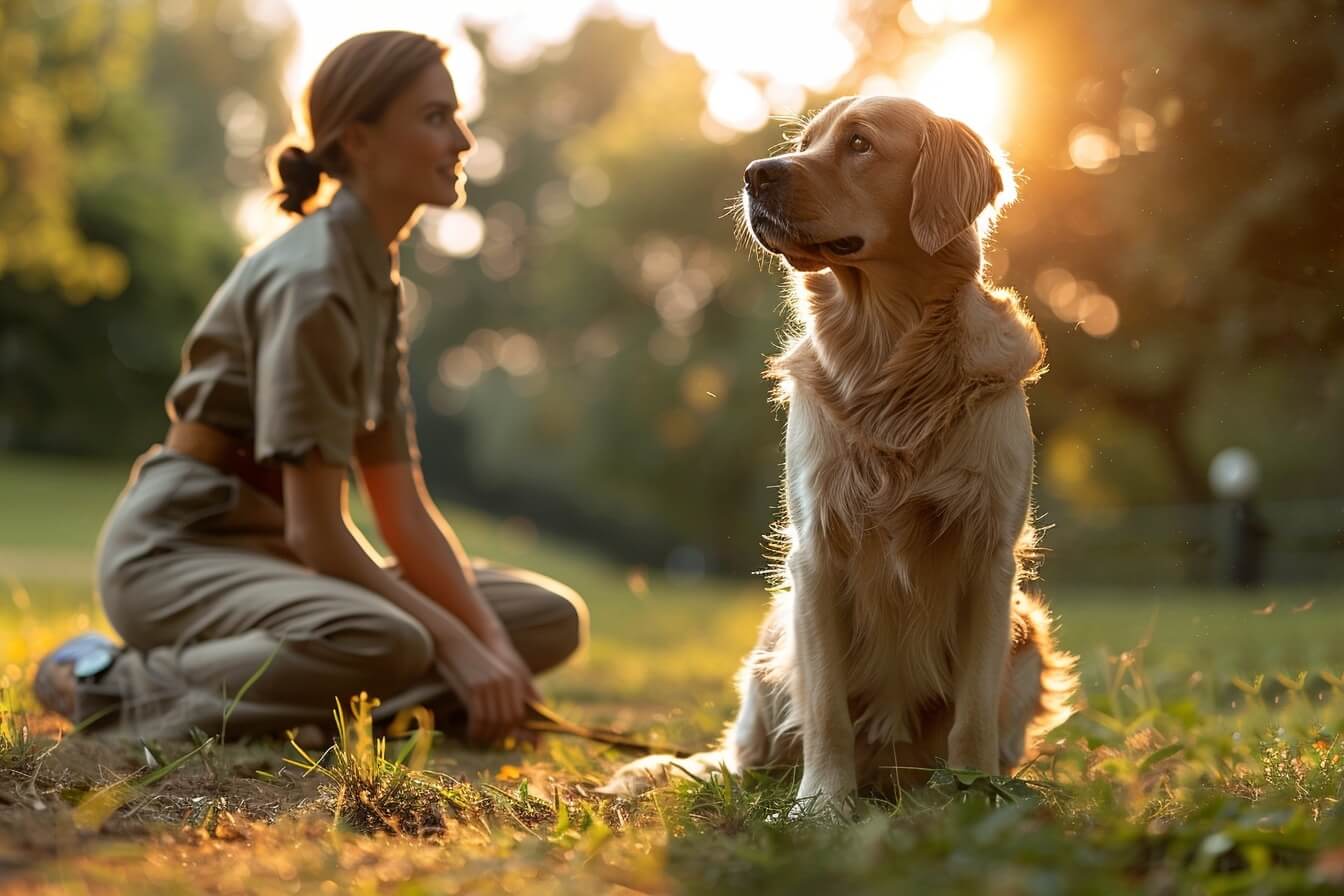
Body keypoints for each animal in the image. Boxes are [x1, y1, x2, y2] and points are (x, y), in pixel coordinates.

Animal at [604, 96, 1075, 811]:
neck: (888, 351)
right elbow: (826, 709)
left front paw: (972, 798)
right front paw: (823, 805)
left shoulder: (990, 556)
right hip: (776, 637)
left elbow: (973, 714)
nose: (754, 174)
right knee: (747, 759)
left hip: (1029, 635)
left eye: (859, 143)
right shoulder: (817, 550)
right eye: (804, 142)